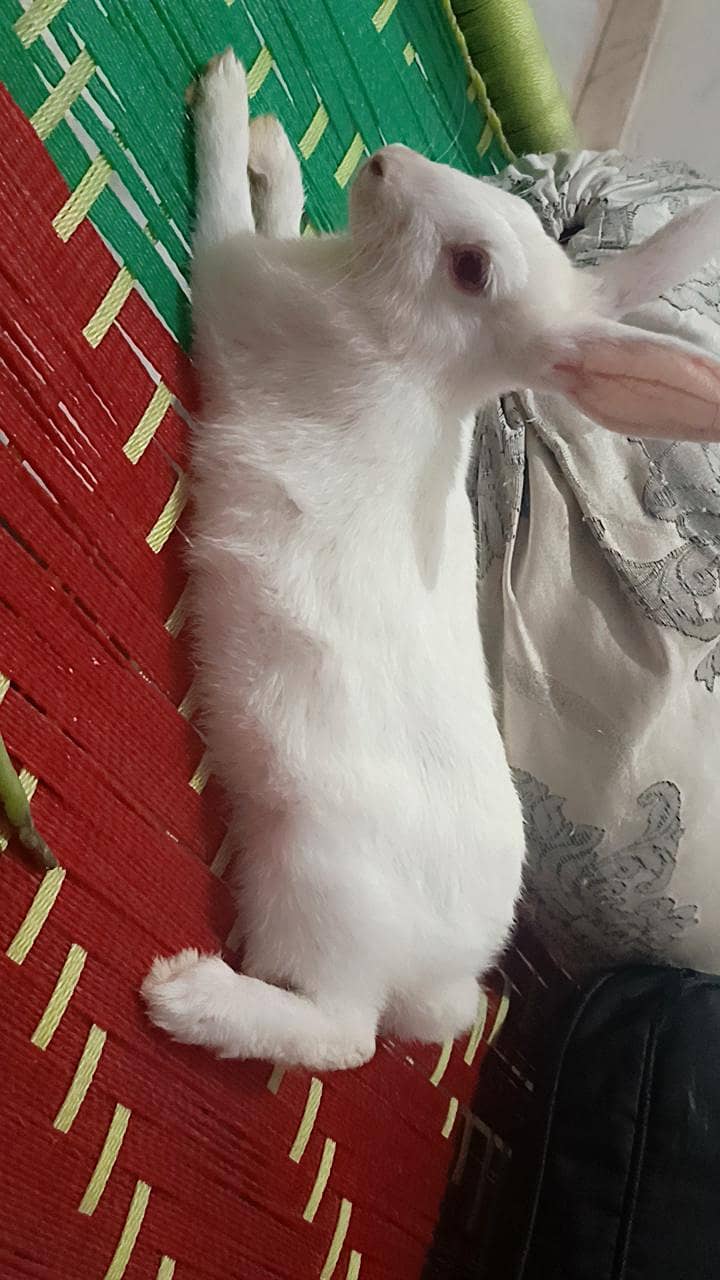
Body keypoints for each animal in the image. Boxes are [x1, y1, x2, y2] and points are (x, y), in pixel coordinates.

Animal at [142, 50, 720, 1073]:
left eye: (472, 268)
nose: (382, 163)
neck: (400, 338)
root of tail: (444, 971)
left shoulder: (235, 279)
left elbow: (221, 211)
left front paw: (225, 100)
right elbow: (278, 205)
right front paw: (273, 147)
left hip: (319, 888)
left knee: (342, 1036)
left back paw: (185, 995)